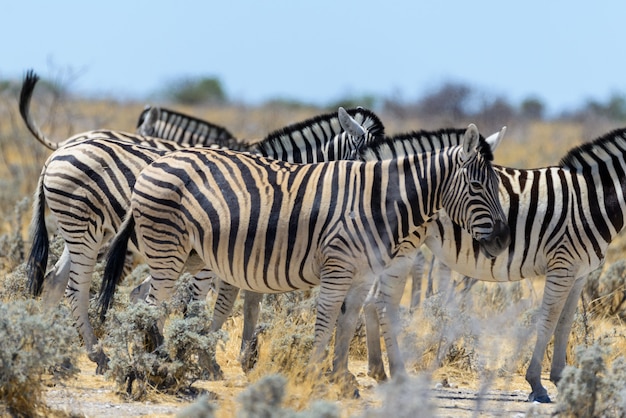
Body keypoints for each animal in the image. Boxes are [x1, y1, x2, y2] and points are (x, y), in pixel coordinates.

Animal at [22, 68, 382, 372]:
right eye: (365, 171)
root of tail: (57, 153)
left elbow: (249, 302)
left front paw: (242, 357)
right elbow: (217, 305)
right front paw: (202, 357)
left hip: (88, 234)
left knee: (56, 281)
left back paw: (52, 351)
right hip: (84, 228)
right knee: (75, 288)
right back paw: (91, 354)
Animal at [96, 121, 508, 392]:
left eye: (497, 183)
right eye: (476, 185)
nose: (504, 239)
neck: (379, 202)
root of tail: (151, 166)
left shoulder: (361, 275)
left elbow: (347, 323)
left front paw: (342, 378)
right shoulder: (337, 268)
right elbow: (324, 323)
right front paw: (313, 373)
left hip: (186, 256)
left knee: (141, 300)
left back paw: (154, 357)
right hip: (170, 251)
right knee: (152, 304)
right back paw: (150, 366)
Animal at [358, 128, 626, 404]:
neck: (593, 201)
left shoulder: (579, 273)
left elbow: (565, 324)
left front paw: (562, 379)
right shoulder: (562, 265)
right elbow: (548, 321)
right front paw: (537, 384)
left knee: (370, 301)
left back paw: (377, 371)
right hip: (405, 245)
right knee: (383, 303)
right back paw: (395, 375)